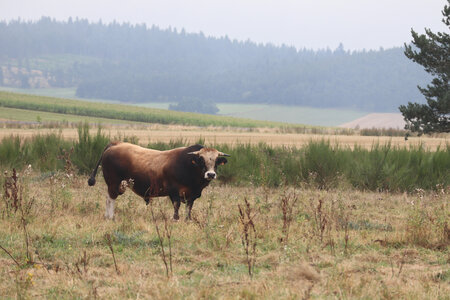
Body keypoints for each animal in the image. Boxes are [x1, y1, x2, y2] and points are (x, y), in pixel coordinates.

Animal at [86, 142, 230, 219]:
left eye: (216, 161)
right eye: (201, 160)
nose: (210, 174)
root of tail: (117, 143)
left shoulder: (193, 194)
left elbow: (189, 207)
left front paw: (187, 219)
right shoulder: (174, 191)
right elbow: (177, 205)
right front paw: (175, 219)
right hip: (113, 183)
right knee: (110, 199)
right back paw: (110, 217)